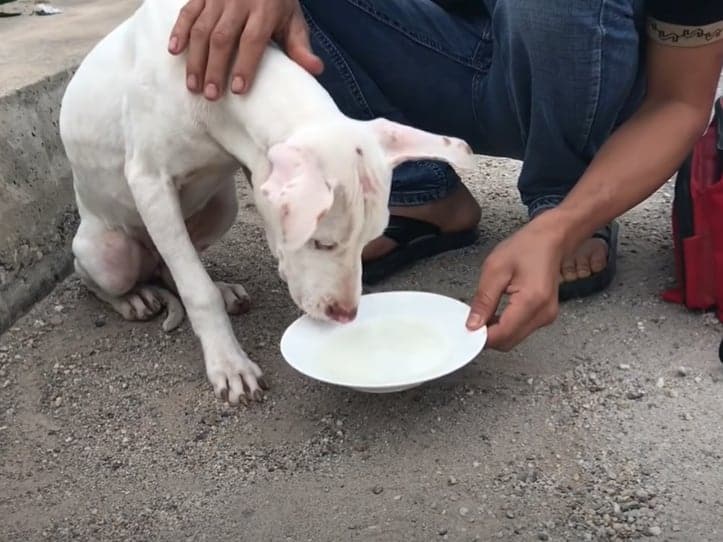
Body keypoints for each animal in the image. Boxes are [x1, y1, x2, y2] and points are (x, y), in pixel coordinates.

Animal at [59, 0, 478, 406]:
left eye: (367, 241)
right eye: (321, 243)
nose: (346, 316)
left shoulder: (251, 162)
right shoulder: (149, 181)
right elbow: (196, 290)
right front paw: (229, 364)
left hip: (222, 207)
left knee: (168, 265)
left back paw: (220, 287)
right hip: (108, 252)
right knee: (104, 276)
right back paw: (134, 298)